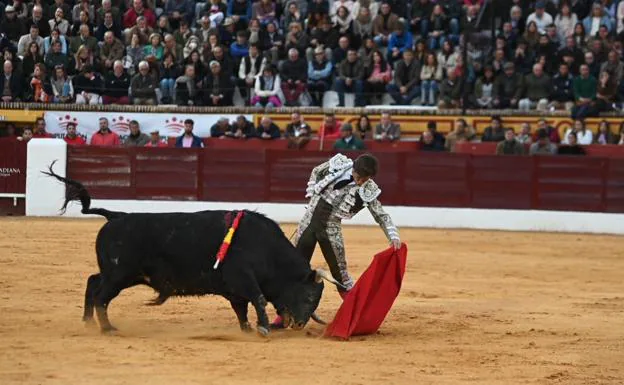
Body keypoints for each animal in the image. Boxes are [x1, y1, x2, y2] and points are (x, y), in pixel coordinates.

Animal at [45, 165, 342, 336]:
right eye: (308, 296)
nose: (300, 324)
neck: (266, 250)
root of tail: (115, 216)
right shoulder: (242, 278)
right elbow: (257, 299)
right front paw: (263, 327)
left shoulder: (233, 289)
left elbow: (241, 308)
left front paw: (247, 329)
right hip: (119, 274)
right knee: (101, 297)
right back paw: (106, 328)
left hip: (118, 273)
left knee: (92, 282)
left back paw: (87, 322)